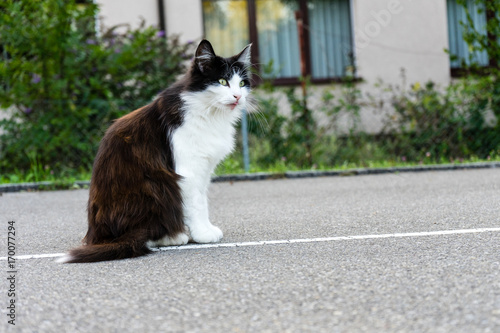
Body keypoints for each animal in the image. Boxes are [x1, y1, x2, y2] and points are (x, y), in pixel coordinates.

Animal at [59, 39, 252, 262]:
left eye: (242, 84)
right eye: (222, 81)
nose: (238, 96)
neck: (209, 112)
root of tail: (98, 235)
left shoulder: (204, 170)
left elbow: (202, 200)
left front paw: (205, 229)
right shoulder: (188, 171)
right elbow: (196, 204)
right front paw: (202, 233)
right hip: (158, 185)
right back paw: (173, 237)